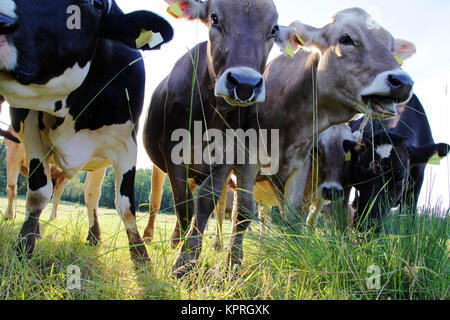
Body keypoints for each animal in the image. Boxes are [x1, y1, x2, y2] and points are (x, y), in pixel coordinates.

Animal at [0, 1, 174, 264]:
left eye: (97, 4)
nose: (2, 21)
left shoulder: (126, 143)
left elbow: (125, 205)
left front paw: (140, 256)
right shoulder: (30, 131)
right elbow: (38, 191)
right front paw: (24, 246)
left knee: (91, 193)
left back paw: (94, 236)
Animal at [142, 0, 292, 276]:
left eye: (273, 29)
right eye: (214, 18)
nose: (245, 83)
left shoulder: (227, 156)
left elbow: (205, 201)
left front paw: (188, 257)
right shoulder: (171, 151)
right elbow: (183, 204)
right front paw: (183, 258)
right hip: (159, 164)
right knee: (156, 201)